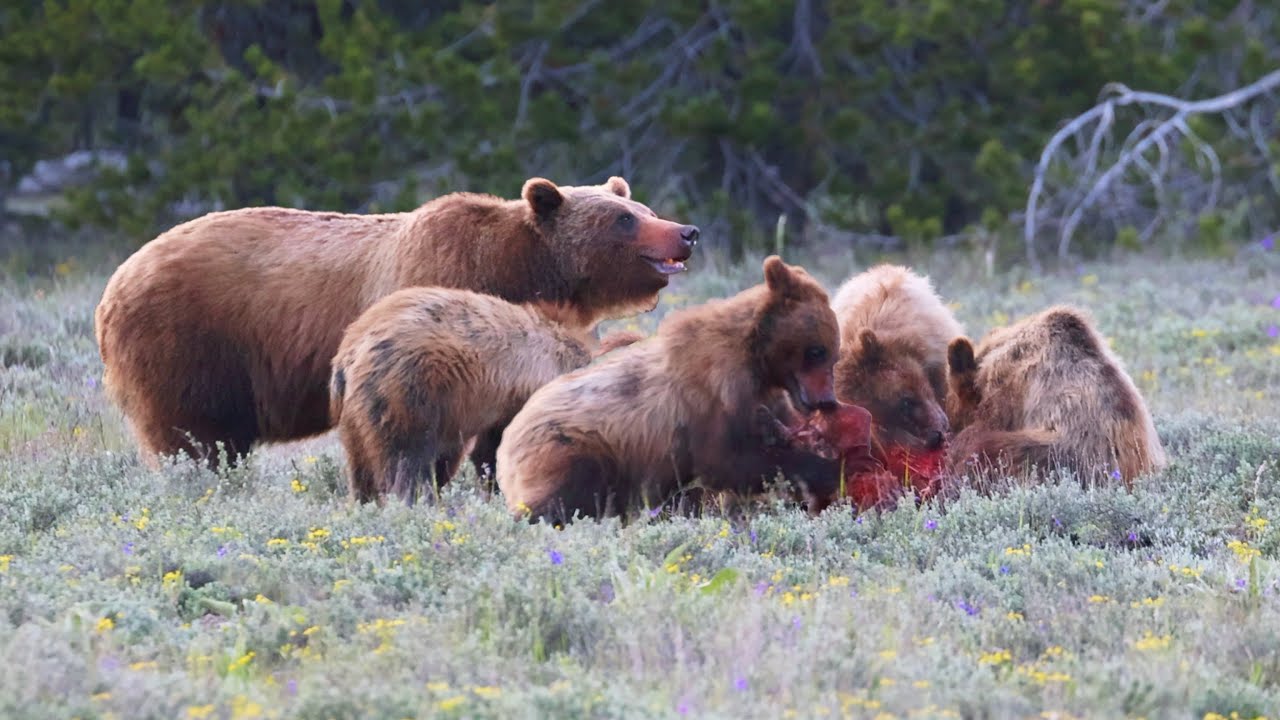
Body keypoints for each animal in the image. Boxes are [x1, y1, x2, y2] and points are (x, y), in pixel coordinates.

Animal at [94, 176, 697, 468]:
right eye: (624, 219)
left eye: (644, 208)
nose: (686, 231)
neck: (521, 270)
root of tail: (115, 280)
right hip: (191, 343)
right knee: (193, 437)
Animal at [496, 255, 852, 524]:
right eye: (817, 351)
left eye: (834, 354)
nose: (827, 400)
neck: (756, 362)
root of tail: (506, 444)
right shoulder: (712, 395)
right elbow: (731, 460)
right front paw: (828, 470)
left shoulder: (764, 397)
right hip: (572, 448)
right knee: (565, 494)